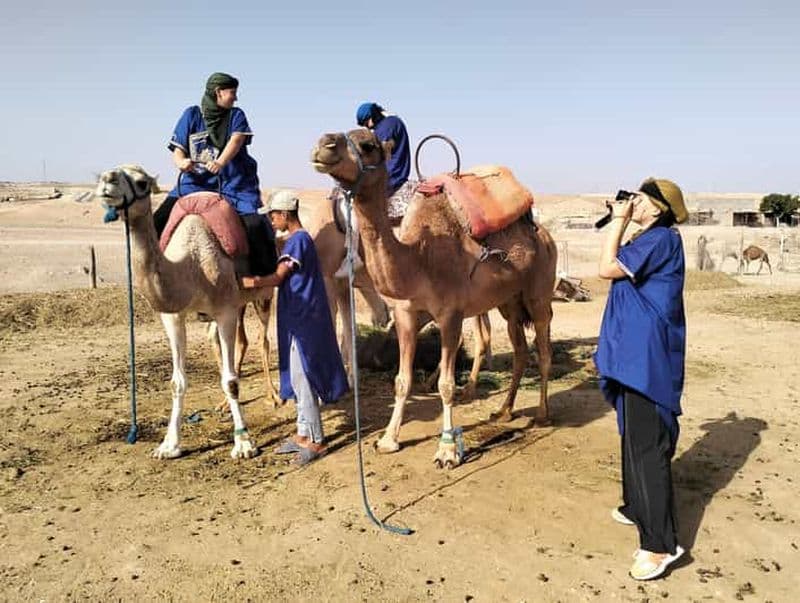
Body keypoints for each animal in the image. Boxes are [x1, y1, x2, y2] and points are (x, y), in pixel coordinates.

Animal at [94, 164, 276, 460]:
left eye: (142, 182)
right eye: (106, 175)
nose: (107, 180)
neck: (191, 264)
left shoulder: (224, 310)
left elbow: (231, 381)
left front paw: (243, 443)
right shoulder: (173, 316)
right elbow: (176, 382)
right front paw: (169, 445)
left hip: (264, 295)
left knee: (264, 339)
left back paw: (274, 396)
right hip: (234, 305)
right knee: (234, 341)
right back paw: (223, 406)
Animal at [311, 129, 557, 467]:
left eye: (368, 145)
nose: (324, 145)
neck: (418, 257)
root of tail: (544, 234)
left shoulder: (451, 314)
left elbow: (446, 385)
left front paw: (447, 450)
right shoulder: (405, 314)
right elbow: (402, 381)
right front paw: (388, 440)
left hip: (539, 291)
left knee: (543, 348)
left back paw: (543, 413)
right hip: (508, 301)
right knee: (520, 350)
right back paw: (504, 411)